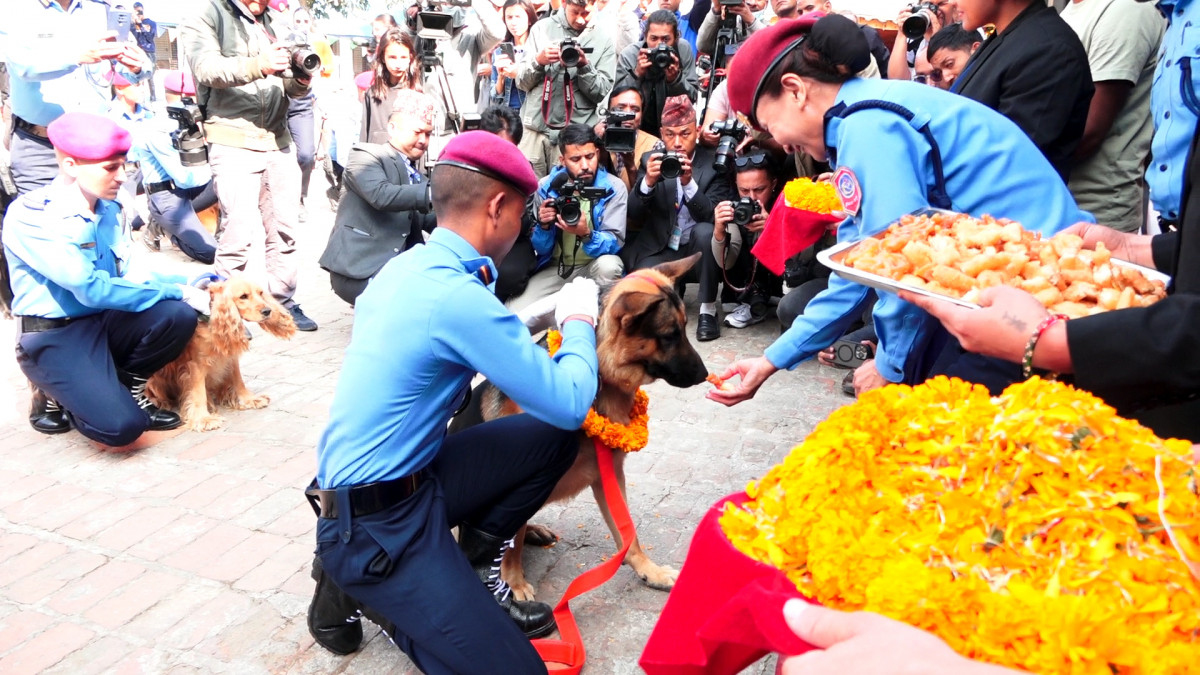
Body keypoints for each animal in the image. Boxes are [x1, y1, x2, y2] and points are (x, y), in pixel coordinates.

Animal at [147, 275, 297, 427]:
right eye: (243, 296)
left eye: (260, 293)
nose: (267, 311)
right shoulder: (196, 364)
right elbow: (198, 392)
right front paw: (203, 418)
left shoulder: (231, 357)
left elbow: (238, 380)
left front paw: (248, 399)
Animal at [451, 253, 710, 598]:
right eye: (669, 335)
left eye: (684, 328)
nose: (704, 375)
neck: (597, 382)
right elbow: (510, 547)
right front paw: (514, 584)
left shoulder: (610, 475)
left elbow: (628, 532)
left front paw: (648, 570)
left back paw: (535, 530)